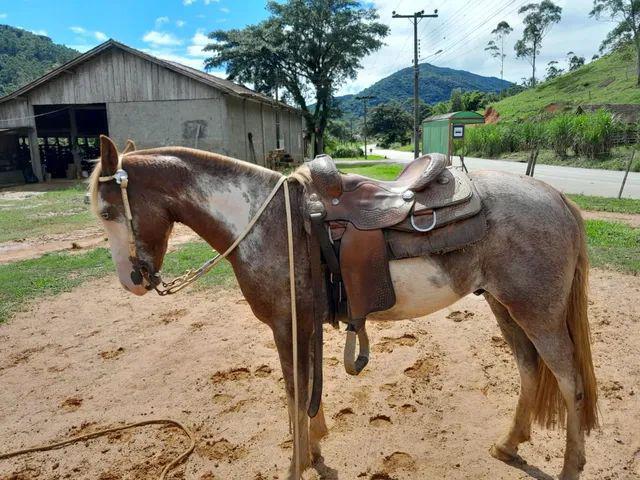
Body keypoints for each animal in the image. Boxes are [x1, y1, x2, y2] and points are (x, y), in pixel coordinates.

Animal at [91, 135, 600, 480]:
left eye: (107, 211)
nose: (133, 281)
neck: (266, 221)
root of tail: (555, 197)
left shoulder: (286, 325)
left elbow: (295, 394)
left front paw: (297, 464)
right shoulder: (302, 325)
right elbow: (308, 393)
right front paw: (315, 452)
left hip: (537, 313)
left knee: (570, 382)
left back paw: (570, 466)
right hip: (505, 306)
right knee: (531, 369)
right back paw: (508, 445)